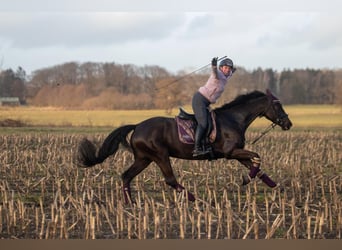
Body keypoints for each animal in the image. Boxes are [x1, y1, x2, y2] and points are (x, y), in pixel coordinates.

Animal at [77, 90, 292, 203]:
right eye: (277, 105)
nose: (288, 124)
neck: (234, 119)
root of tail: (137, 126)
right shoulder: (231, 152)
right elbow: (257, 156)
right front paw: (247, 179)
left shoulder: (237, 153)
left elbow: (256, 164)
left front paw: (274, 186)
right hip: (160, 156)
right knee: (170, 180)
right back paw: (195, 199)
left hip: (144, 158)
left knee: (126, 176)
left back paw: (130, 202)